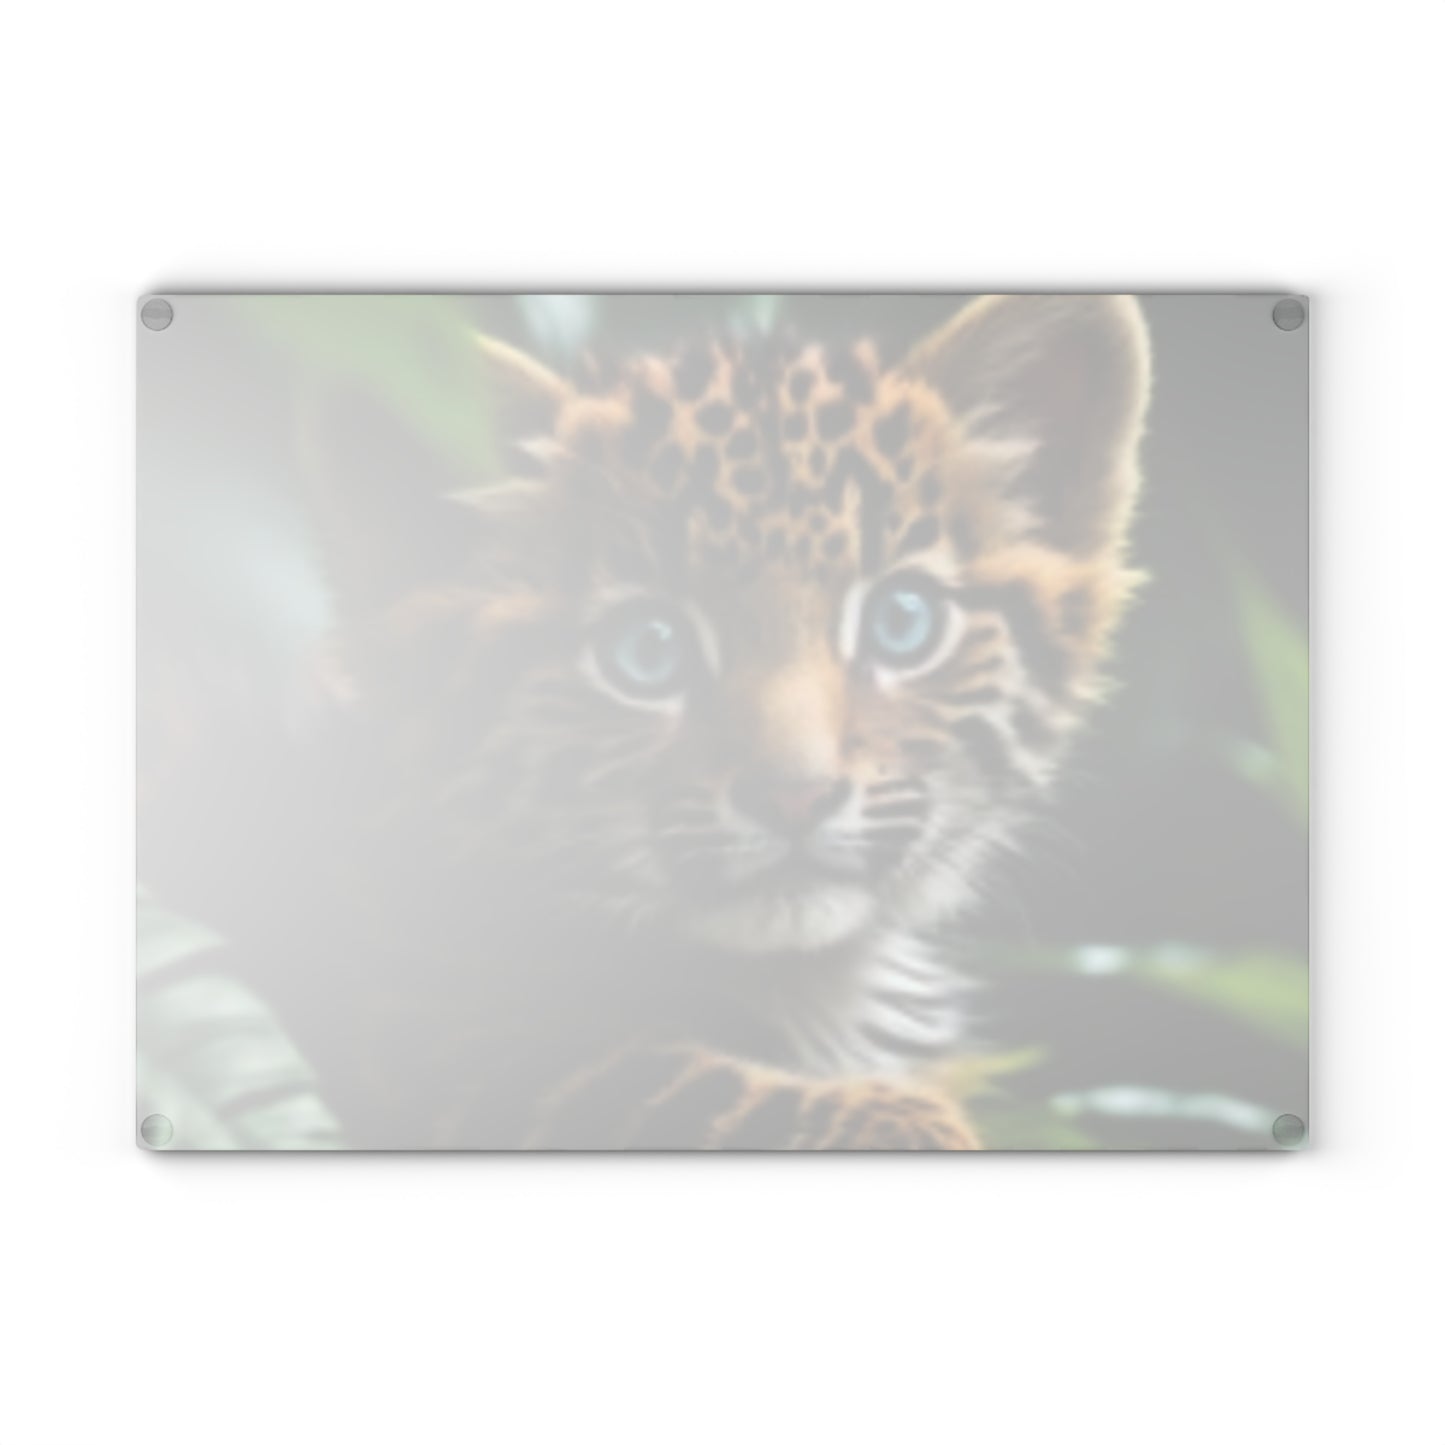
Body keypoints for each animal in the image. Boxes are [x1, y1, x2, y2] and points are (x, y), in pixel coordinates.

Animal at [299, 294, 1152, 1149]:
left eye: (900, 621)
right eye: (648, 649)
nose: (795, 798)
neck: (811, 982)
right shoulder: (431, 1028)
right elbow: (656, 1081)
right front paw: (911, 1124)